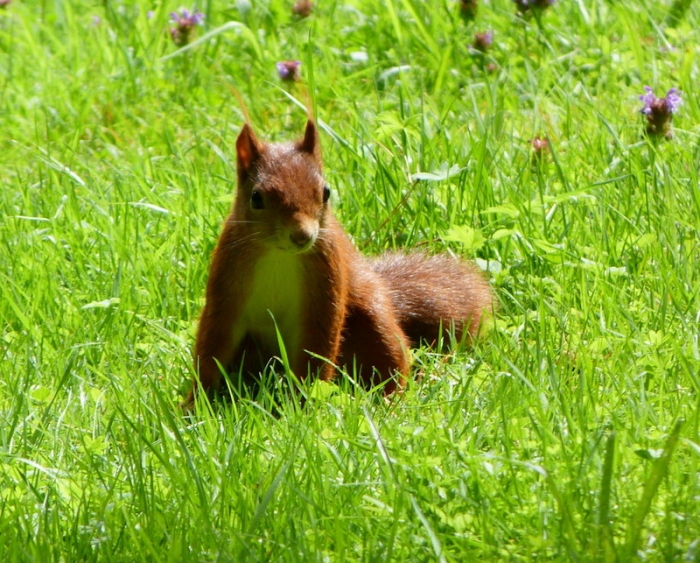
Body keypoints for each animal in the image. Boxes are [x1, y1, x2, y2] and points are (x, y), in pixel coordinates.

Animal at [184, 118, 492, 407]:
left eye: (326, 192)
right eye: (256, 198)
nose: (302, 236)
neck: (279, 254)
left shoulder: (326, 283)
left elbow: (317, 347)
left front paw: (301, 403)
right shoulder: (226, 288)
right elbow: (213, 344)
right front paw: (195, 402)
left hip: (372, 317)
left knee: (393, 360)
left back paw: (390, 400)